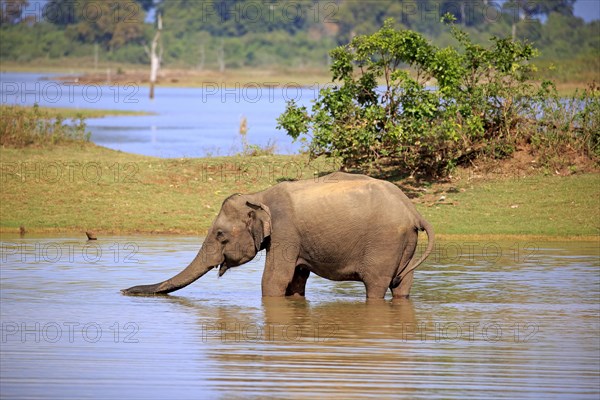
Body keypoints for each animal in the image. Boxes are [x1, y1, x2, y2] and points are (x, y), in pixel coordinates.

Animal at [122, 170, 434, 298]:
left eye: (220, 235)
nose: (123, 291)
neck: (258, 195)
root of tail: (413, 210)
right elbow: (295, 280)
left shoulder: (286, 232)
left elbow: (274, 279)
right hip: (406, 245)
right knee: (402, 285)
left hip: (385, 242)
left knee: (376, 286)